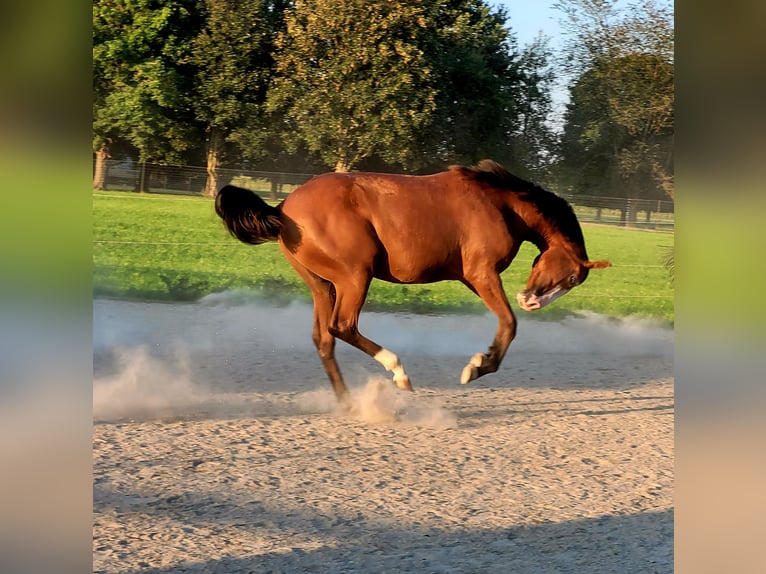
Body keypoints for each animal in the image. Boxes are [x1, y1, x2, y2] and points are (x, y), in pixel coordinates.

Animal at [216, 158, 612, 400]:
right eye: (570, 275)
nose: (530, 301)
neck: (498, 203)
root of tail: (282, 209)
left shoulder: (471, 278)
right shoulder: (481, 272)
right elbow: (510, 324)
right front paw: (477, 367)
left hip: (322, 284)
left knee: (324, 339)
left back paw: (347, 402)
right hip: (354, 276)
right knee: (342, 326)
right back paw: (398, 373)